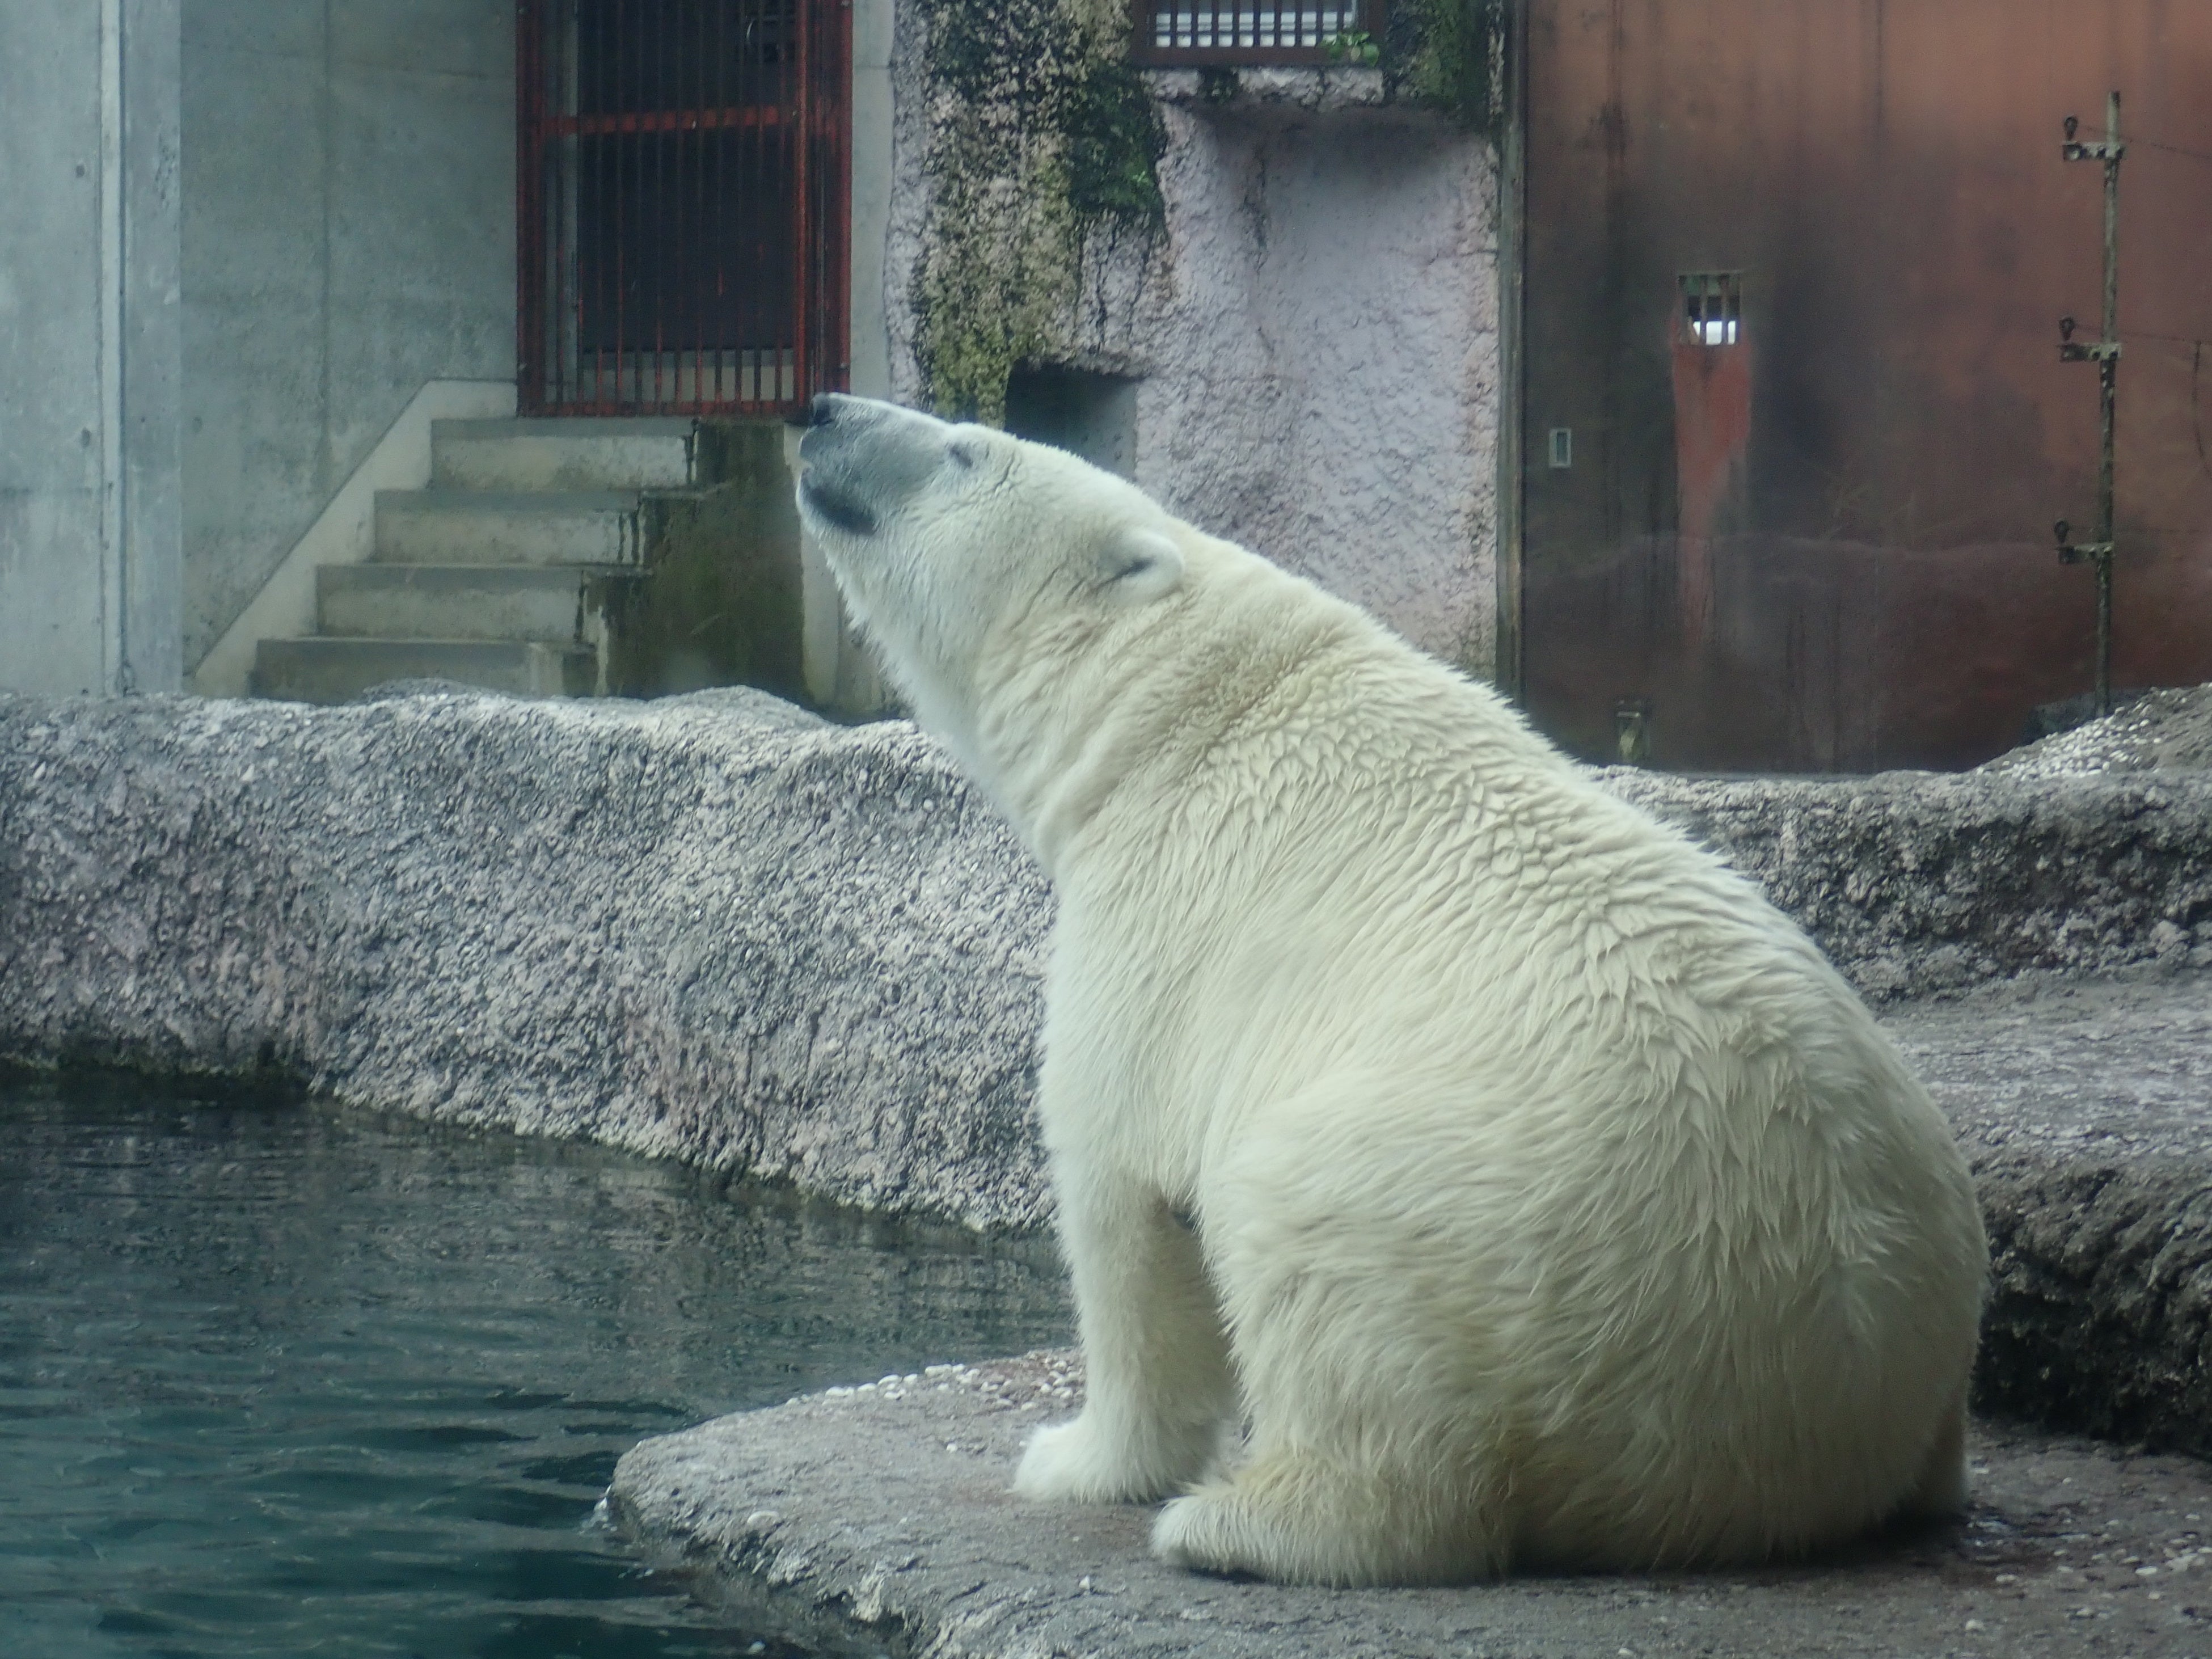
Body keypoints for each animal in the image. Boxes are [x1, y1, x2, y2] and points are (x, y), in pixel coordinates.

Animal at [796, 396, 1991, 1593]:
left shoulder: (1163, 925)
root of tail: (1829, 1380)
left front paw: (1074, 1459)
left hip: (1473, 1216)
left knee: (1317, 1277)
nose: (822, 411)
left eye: (964, 448)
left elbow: (1124, 1196)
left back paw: (1241, 1521)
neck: (1190, 716)